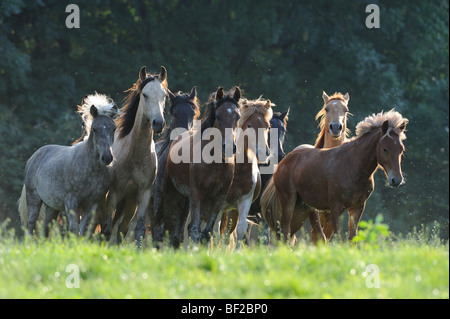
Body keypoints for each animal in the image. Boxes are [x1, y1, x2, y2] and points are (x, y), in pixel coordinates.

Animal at [18, 94, 118, 236]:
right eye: (94, 129)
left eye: (113, 128)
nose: (107, 157)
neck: (90, 169)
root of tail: (33, 157)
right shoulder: (71, 203)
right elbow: (73, 230)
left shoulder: (91, 204)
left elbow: (82, 231)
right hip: (34, 198)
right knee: (30, 226)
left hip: (52, 206)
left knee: (46, 228)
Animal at [152, 87, 243, 248]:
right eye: (218, 116)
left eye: (237, 117)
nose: (228, 147)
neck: (215, 162)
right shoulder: (196, 193)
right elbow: (194, 230)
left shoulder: (219, 197)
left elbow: (206, 233)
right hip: (170, 195)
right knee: (167, 228)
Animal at [260, 110, 408, 242]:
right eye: (385, 149)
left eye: (401, 149)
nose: (396, 180)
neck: (353, 166)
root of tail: (283, 162)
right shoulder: (336, 208)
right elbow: (338, 238)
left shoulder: (357, 208)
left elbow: (352, 238)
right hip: (289, 201)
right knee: (285, 232)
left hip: (303, 208)